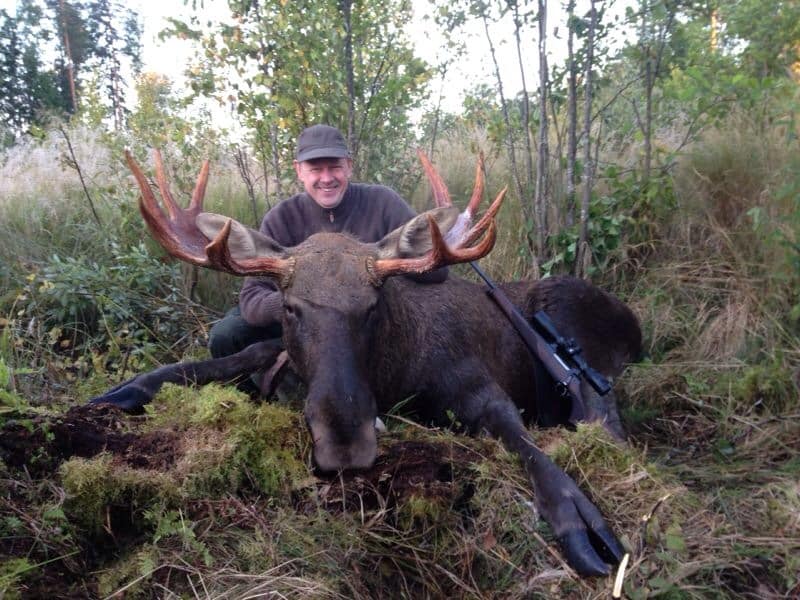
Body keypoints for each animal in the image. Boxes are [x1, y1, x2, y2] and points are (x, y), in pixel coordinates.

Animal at [90, 149, 642, 577]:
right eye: (291, 306)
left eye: (373, 305)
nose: (344, 448)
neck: (393, 372)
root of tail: (635, 323)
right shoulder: (282, 356)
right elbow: (240, 355)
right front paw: (128, 389)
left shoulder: (476, 384)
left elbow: (523, 443)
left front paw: (581, 522)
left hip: (567, 315)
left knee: (602, 409)